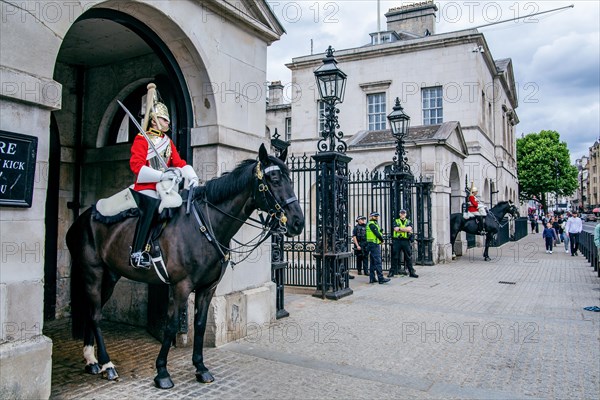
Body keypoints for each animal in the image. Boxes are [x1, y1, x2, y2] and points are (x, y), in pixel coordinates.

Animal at [67, 145, 304, 390]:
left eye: (290, 180)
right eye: (274, 179)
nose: (298, 222)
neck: (205, 227)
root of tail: (82, 217)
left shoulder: (207, 288)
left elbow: (199, 324)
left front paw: (201, 368)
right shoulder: (181, 286)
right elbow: (171, 325)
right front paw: (162, 372)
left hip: (110, 276)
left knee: (92, 311)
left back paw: (92, 360)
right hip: (92, 272)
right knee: (95, 315)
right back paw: (107, 364)